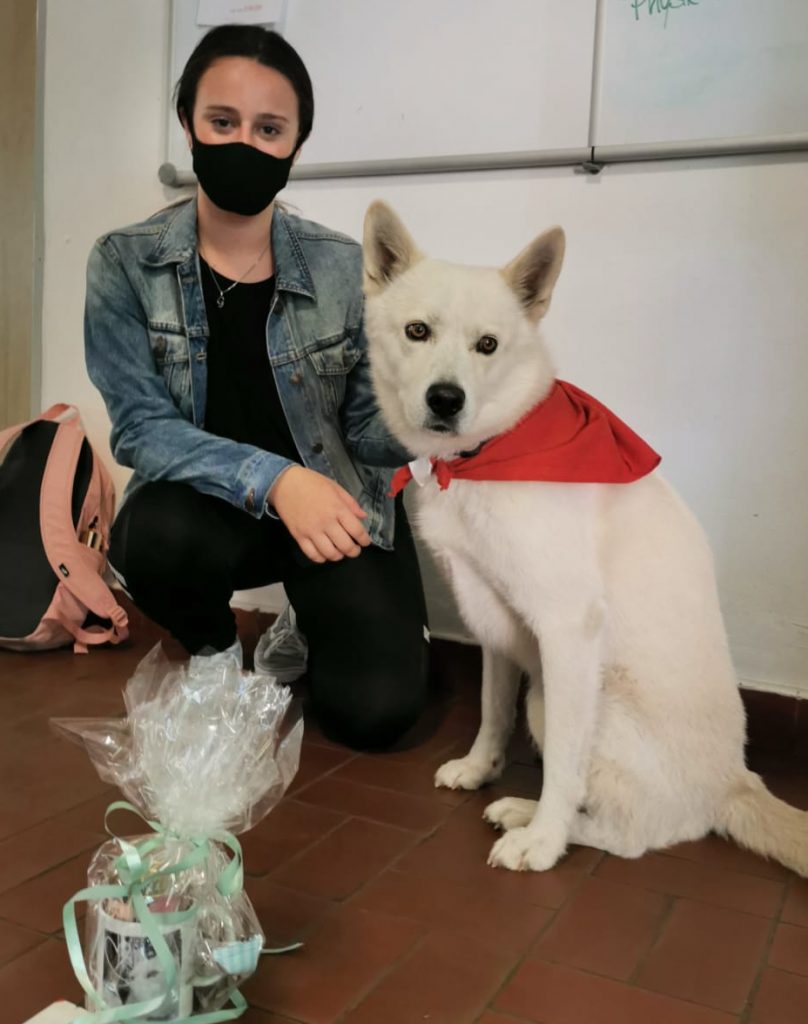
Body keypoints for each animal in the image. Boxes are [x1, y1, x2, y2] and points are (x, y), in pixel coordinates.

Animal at [361, 200, 808, 874]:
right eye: (418, 331)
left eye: (487, 345)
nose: (446, 400)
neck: (491, 452)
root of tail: (735, 781)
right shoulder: (491, 617)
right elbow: (491, 707)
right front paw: (480, 768)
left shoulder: (565, 631)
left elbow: (564, 771)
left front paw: (544, 841)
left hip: (561, 700)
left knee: (630, 834)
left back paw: (541, 825)